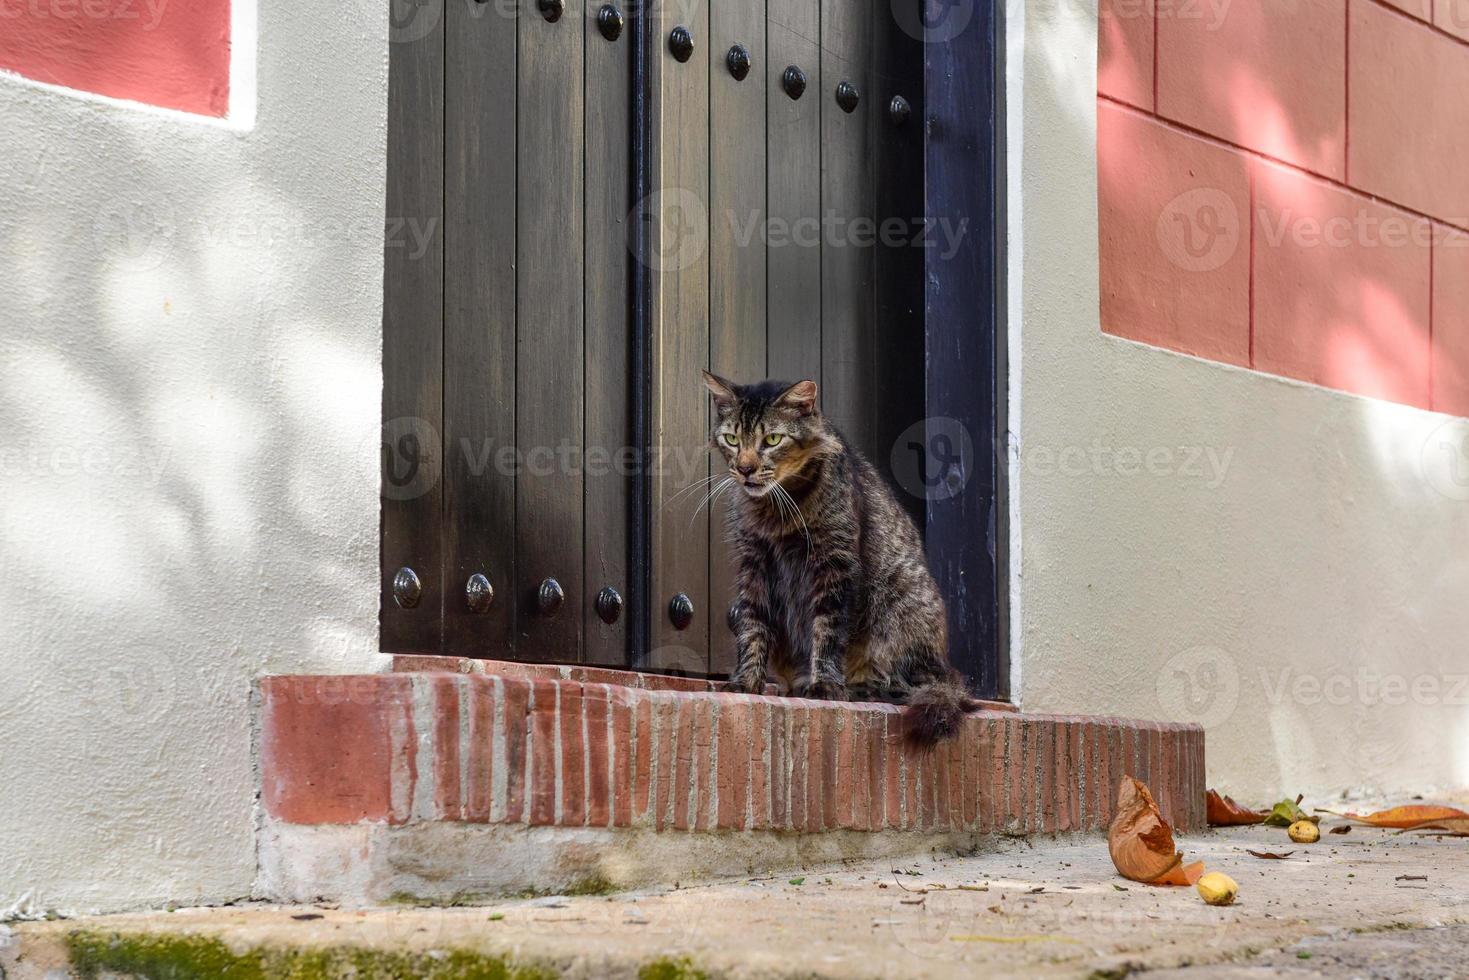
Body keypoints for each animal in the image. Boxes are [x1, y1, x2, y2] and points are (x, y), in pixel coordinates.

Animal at [699, 371, 975, 746]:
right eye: (731, 439)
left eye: (772, 439)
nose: (744, 469)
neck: (776, 509)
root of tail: (946, 668)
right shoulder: (753, 564)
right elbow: (752, 627)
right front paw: (746, 680)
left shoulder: (834, 563)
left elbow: (827, 630)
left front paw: (825, 684)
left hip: (902, 610)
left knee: (907, 685)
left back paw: (857, 687)